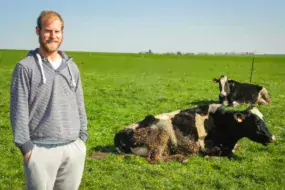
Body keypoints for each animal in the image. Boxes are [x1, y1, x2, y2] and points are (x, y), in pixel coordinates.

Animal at [113, 104, 276, 163]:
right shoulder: (206, 147)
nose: (272, 137)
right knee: (155, 159)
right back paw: (181, 158)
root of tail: (118, 135)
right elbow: (231, 155)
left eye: (264, 119)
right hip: (161, 133)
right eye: (256, 122)